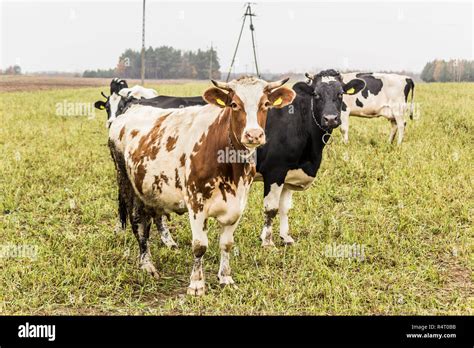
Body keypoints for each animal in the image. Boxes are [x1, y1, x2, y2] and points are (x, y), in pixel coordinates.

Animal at [108, 76, 294, 296]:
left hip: (150, 190)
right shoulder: (196, 204)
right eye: (234, 104)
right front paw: (196, 284)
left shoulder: (237, 205)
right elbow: (199, 245)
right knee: (139, 224)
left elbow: (226, 244)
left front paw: (226, 278)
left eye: (265, 104)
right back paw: (147, 264)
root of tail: (130, 110)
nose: (254, 135)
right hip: (126, 182)